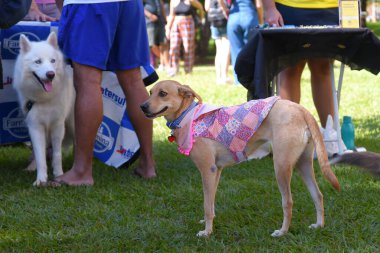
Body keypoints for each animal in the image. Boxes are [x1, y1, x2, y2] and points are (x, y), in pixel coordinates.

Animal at [13, 32, 75, 186]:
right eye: (38, 62)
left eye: (52, 61)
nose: (51, 74)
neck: (44, 98)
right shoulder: (35, 127)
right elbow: (40, 155)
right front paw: (41, 180)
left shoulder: (57, 126)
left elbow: (57, 154)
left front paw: (59, 175)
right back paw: (31, 167)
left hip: (73, 123)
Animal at [140, 80, 342, 237]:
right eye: (150, 92)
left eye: (163, 93)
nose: (142, 106)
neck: (188, 116)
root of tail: (300, 109)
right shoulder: (216, 171)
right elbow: (211, 203)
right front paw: (208, 224)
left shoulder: (207, 171)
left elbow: (206, 205)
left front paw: (207, 233)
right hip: (303, 164)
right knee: (318, 195)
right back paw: (319, 225)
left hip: (281, 167)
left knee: (288, 202)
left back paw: (282, 232)